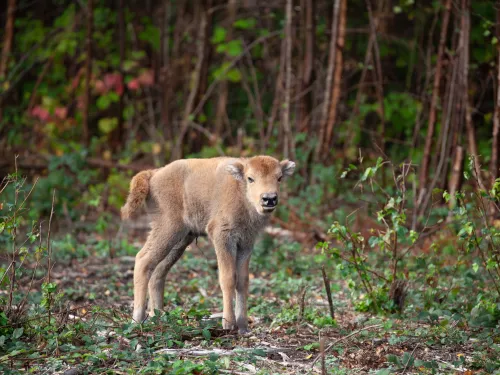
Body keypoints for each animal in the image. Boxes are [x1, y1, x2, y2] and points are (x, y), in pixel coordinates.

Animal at [122, 156, 294, 334]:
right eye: (250, 178)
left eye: (279, 177)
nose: (269, 198)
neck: (240, 191)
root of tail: (153, 174)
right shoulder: (222, 236)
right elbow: (228, 278)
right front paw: (228, 323)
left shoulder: (246, 243)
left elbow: (243, 281)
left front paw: (243, 326)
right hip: (168, 228)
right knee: (143, 260)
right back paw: (137, 320)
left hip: (181, 238)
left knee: (158, 271)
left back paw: (160, 317)